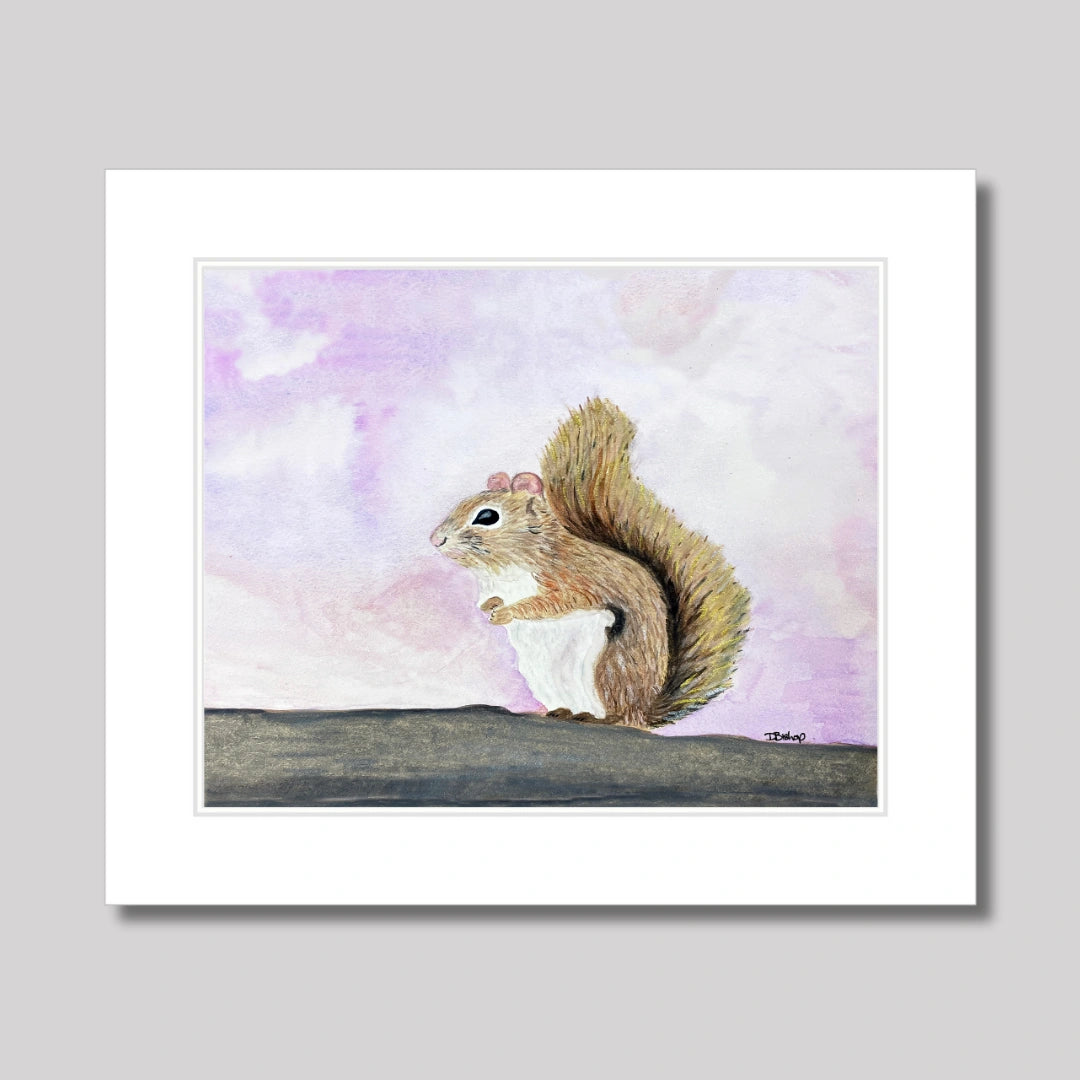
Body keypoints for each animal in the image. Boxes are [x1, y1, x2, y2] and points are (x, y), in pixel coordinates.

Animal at [429, 398, 750, 729]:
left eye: (487, 516)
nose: (435, 539)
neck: (506, 569)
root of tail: (645, 712)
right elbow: (489, 600)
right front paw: (489, 607)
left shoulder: (575, 579)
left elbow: (556, 603)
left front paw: (508, 612)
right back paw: (560, 712)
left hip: (608, 668)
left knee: (618, 715)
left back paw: (596, 717)